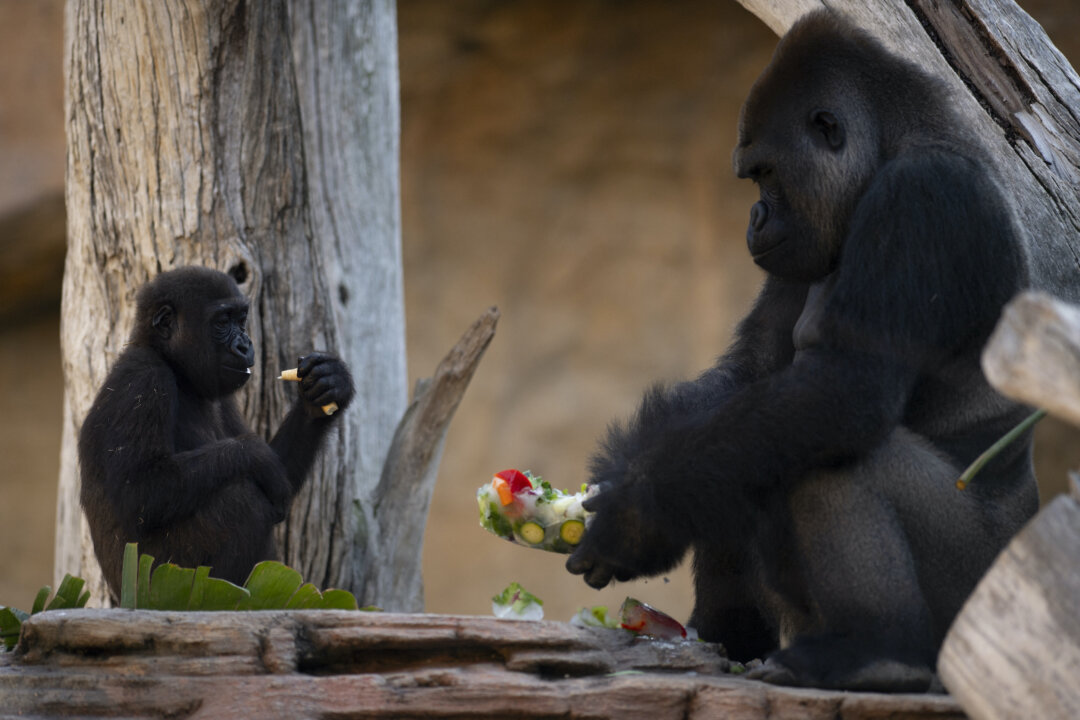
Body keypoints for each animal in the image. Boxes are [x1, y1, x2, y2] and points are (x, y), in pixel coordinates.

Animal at [78, 267, 354, 600]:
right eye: (222, 322)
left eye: (241, 319)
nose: (246, 345)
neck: (174, 366)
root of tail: (122, 599)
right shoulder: (142, 377)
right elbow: (140, 491)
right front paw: (257, 456)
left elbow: (282, 471)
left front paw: (329, 384)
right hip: (153, 589)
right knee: (241, 500)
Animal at [565, 7, 1036, 690]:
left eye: (764, 173)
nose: (755, 220)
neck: (897, 142)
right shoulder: (803, 249)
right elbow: (747, 379)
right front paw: (631, 468)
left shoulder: (922, 193)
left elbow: (839, 390)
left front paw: (640, 511)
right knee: (741, 458)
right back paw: (734, 636)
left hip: (985, 610)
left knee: (832, 454)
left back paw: (880, 652)